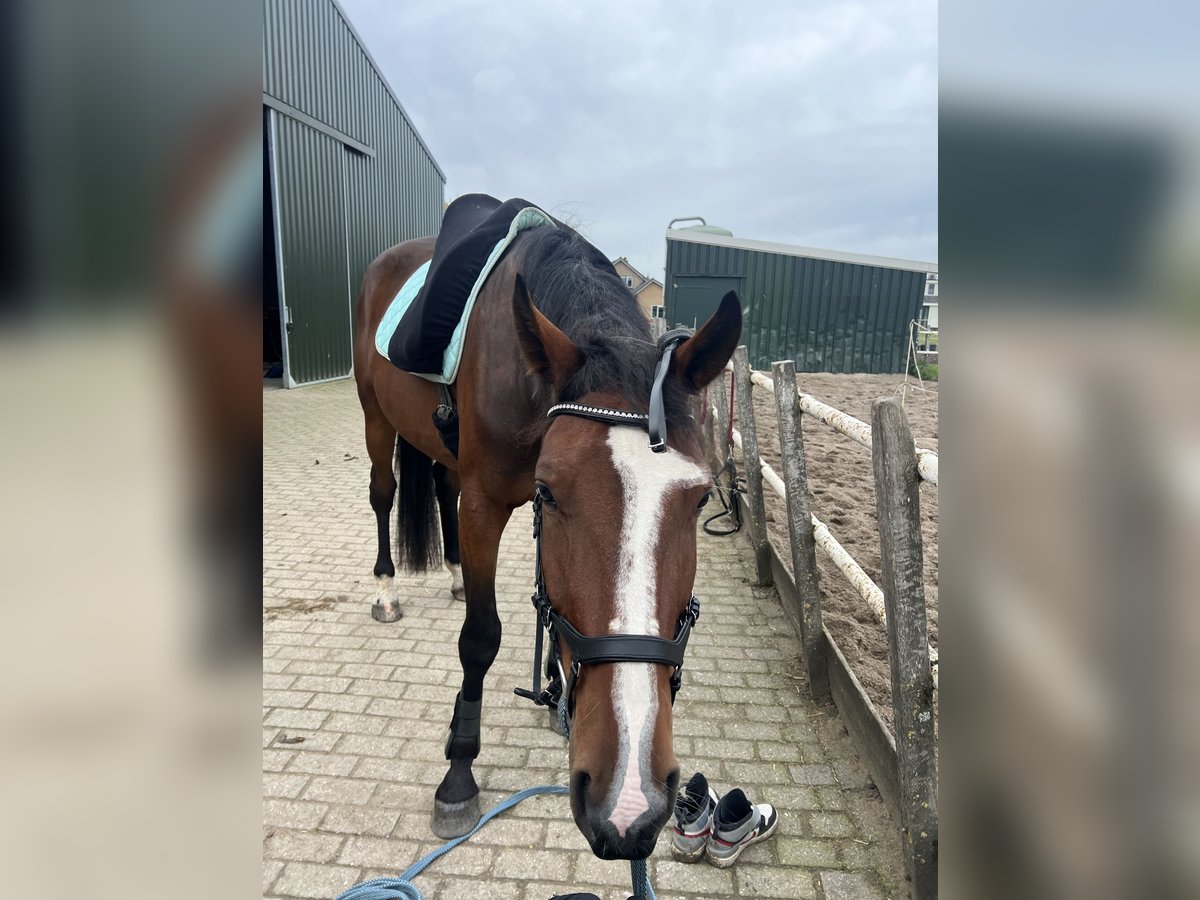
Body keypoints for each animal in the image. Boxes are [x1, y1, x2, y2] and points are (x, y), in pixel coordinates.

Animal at [350, 224, 739, 859]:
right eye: (549, 492)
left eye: (702, 498)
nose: (628, 800)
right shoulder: (485, 505)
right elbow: (481, 637)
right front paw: (459, 773)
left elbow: (547, 605)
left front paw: (557, 694)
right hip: (375, 419)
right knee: (383, 494)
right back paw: (385, 590)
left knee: (441, 486)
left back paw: (455, 578)